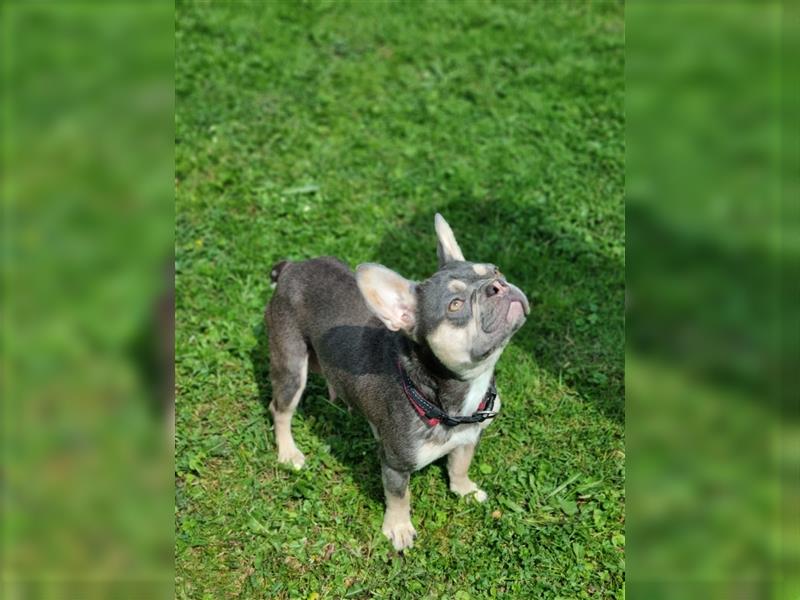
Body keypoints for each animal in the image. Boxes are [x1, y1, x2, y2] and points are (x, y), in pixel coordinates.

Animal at [266, 213, 532, 552]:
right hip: (291, 366)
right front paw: (398, 527)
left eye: (495, 270)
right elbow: (398, 496)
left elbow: (460, 464)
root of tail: (291, 268)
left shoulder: (469, 437)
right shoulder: (395, 465)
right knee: (280, 409)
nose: (497, 285)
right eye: (455, 305)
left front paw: (464, 489)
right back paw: (289, 453)